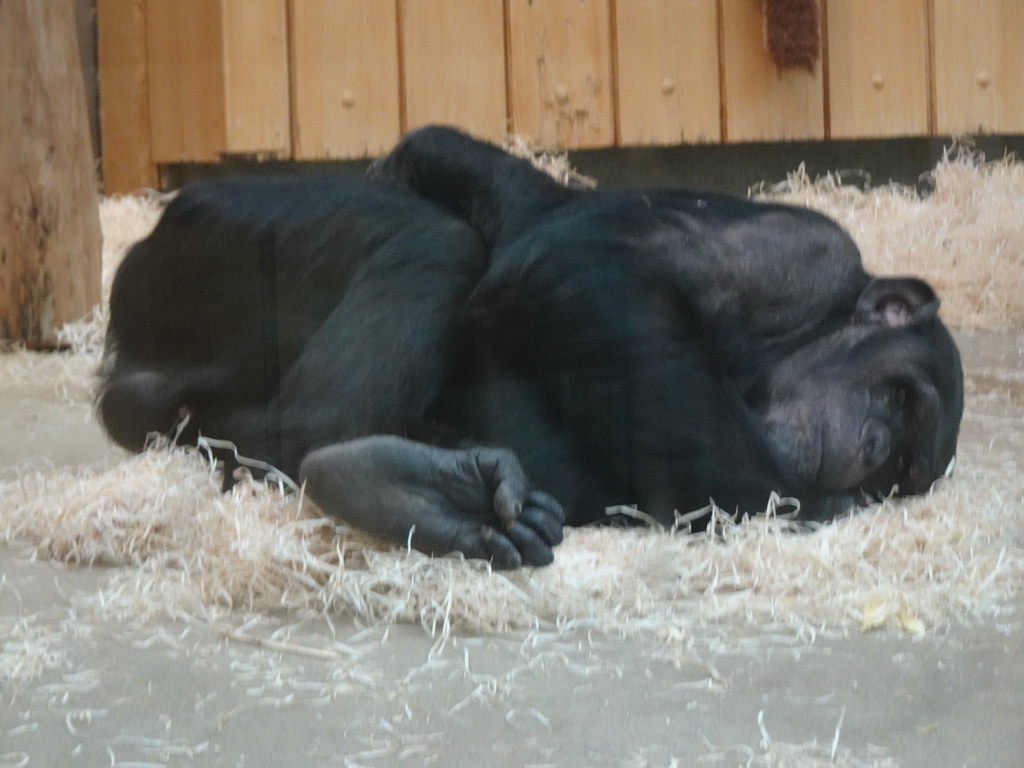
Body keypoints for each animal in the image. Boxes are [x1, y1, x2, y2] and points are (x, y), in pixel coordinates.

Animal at [97, 128, 966, 573]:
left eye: (900, 469)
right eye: (899, 398)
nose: (872, 446)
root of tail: (122, 367)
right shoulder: (802, 257)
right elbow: (576, 266)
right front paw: (807, 503)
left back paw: (430, 497)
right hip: (213, 242)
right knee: (432, 241)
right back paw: (387, 481)